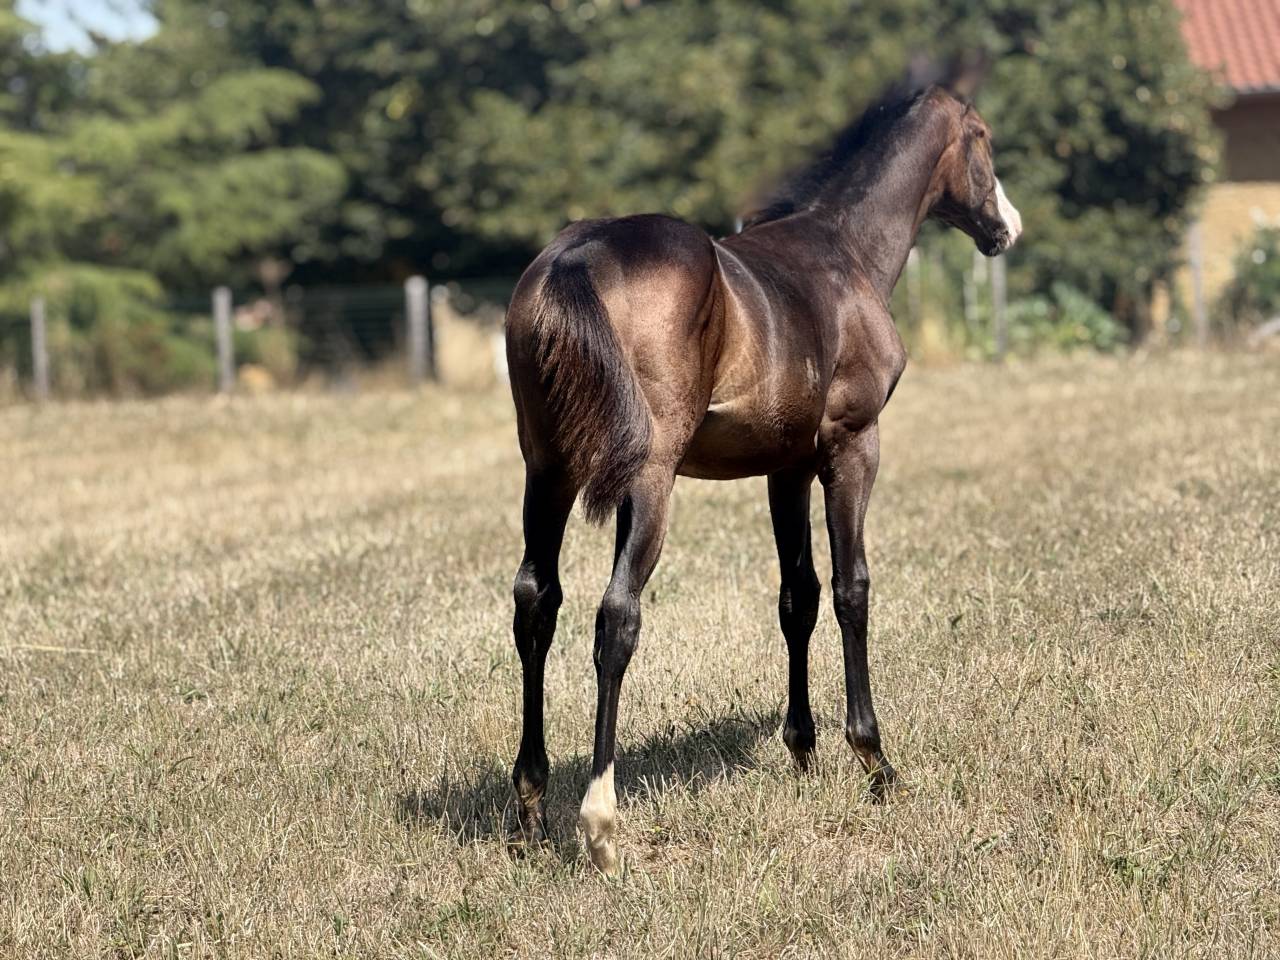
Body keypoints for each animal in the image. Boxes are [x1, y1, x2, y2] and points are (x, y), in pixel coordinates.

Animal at [503, 83, 1022, 874]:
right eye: (983, 138)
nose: (1006, 229)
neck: (845, 253)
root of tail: (575, 256)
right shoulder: (851, 448)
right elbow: (850, 590)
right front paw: (875, 761)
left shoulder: (786, 469)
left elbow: (795, 599)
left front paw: (803, 752)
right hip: (647, 479)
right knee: (616, 615)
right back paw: (601, 822)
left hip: (549, 472)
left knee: (537, 600)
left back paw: (531, 808)